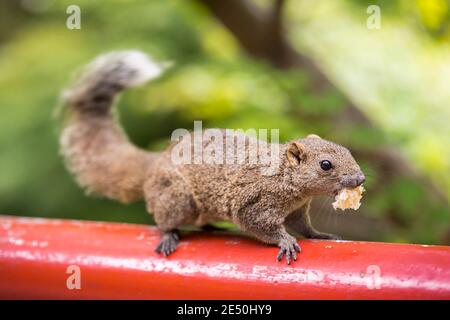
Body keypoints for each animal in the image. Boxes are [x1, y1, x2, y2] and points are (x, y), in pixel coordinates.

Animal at [59, 51, 364, 264]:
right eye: (326, 164)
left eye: (348, 151)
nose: (360, 178)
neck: (285, 177)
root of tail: (154, 164)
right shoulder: (255, 202)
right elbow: (261, 225)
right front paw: (284, 241)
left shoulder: (297, 209)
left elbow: (303, 227)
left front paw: (320, 235)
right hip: (176, 196)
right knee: (164, 221)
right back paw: (169, 236)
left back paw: (212, 227)